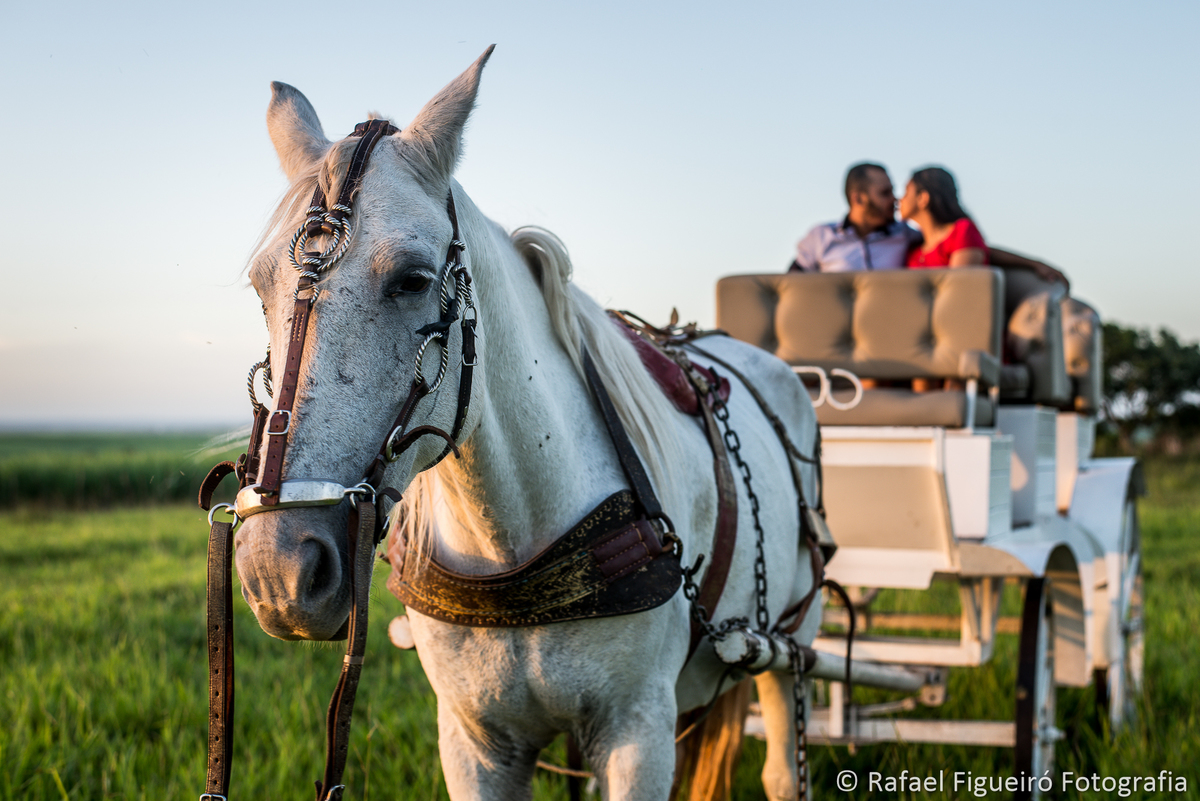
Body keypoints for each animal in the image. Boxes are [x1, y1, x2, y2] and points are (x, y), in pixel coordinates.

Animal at [231, 46, 823, 801]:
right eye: (261, 286)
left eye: (413, 279)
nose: (278, 571)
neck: (510, 546)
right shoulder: (474, 742)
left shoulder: (638, 732)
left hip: (791, 643)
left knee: (783, 766)